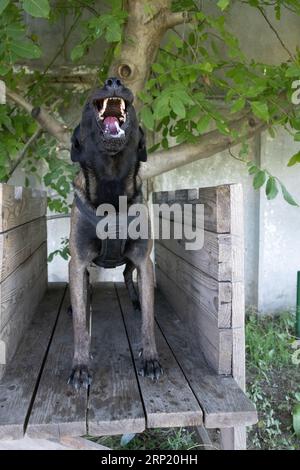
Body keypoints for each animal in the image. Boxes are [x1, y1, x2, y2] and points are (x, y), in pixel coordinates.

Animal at [67, 77, 163, 390]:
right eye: (87, 103)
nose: (113, 81)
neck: (111, 181)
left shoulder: (144, 260)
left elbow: (148, 321)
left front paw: (150, 358)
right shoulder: (78, 262)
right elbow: (80, 326)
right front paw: (80, 366)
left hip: (134, 260)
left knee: (126, 274)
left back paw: (135, 298)